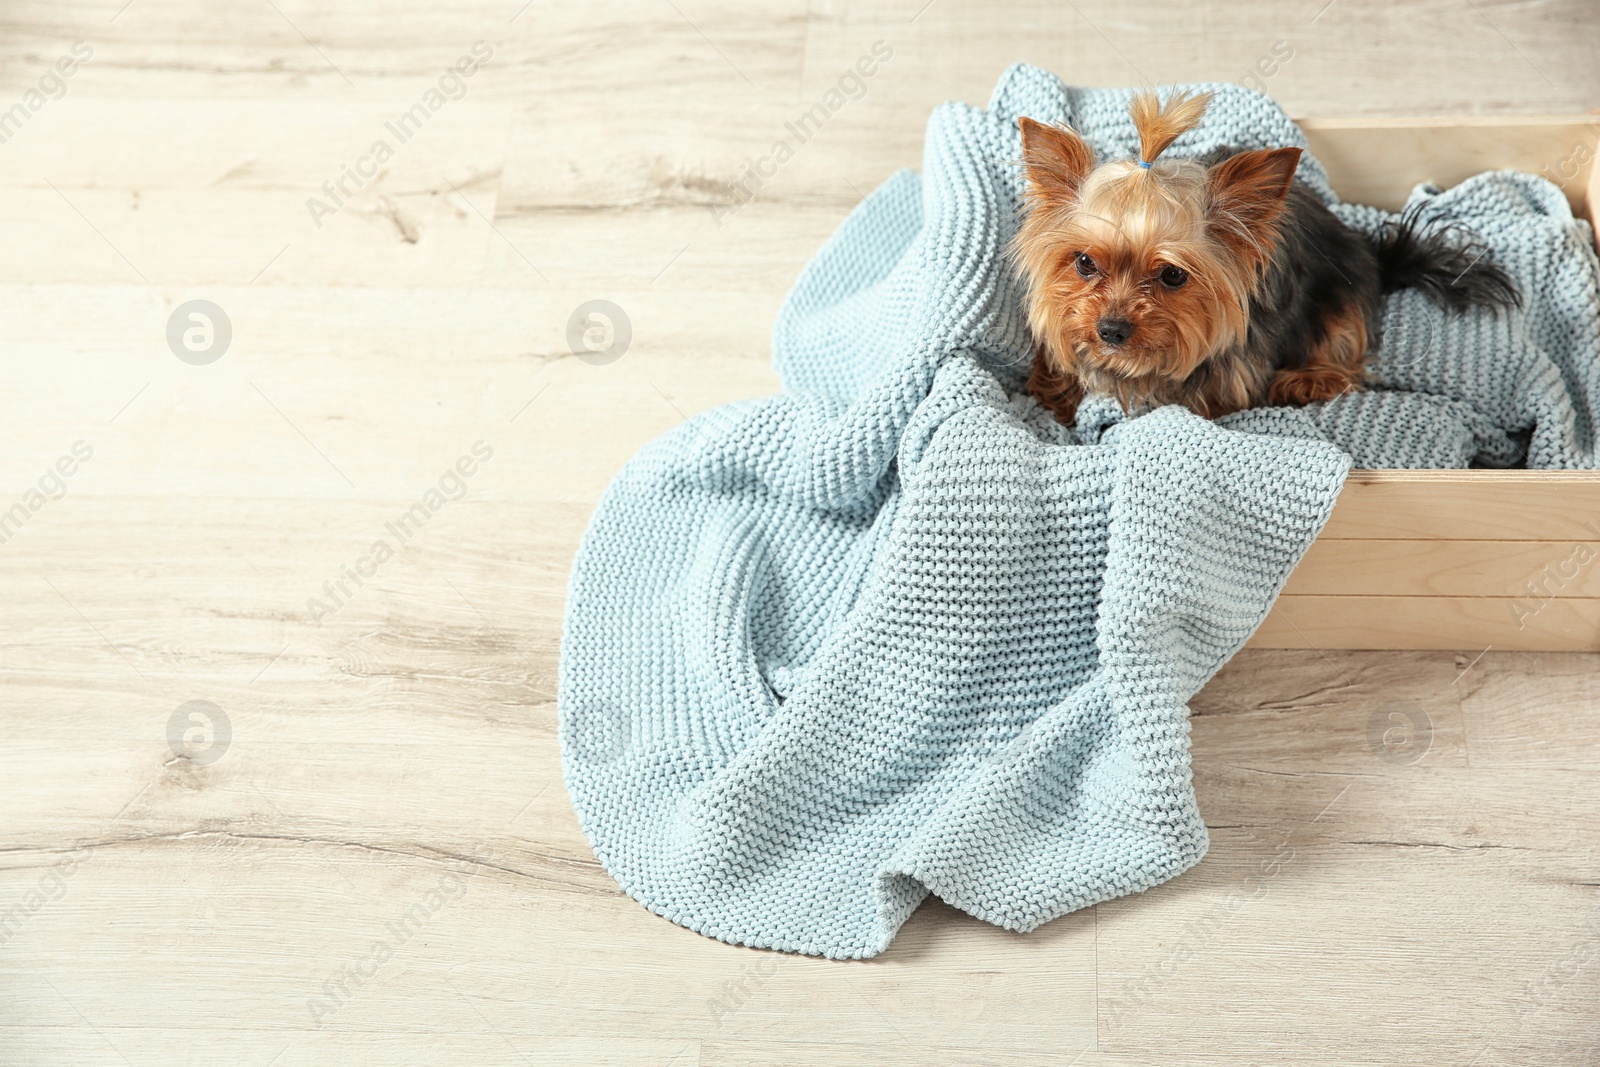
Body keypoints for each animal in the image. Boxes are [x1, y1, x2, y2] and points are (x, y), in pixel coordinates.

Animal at [1017, 89, 1516, 422]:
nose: (1111, 330)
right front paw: (1055, 388)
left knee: (1346, 355)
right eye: (1084, 262)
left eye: (1173, 275)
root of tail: (1371, 250)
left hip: (1342, 291)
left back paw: (1307, 379)